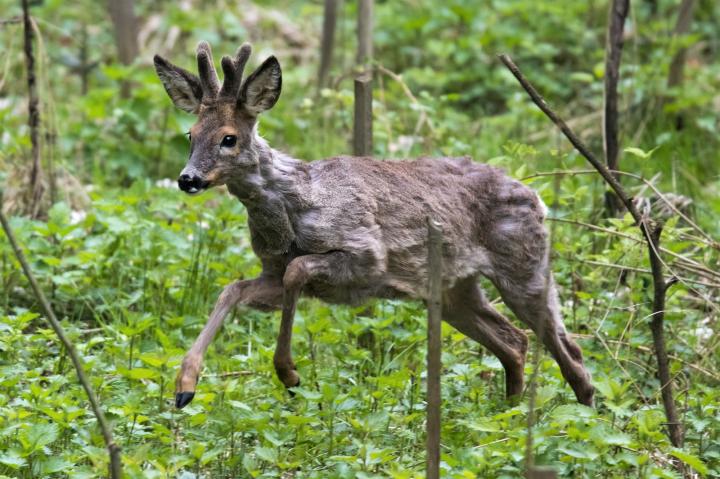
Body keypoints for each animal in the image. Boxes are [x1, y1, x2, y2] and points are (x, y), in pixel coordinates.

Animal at [155, 42, 592, 408]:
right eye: (191, 133)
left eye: (228, 138)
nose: (188, 179)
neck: (298, 206)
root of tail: (536, 198)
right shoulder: (272, 272)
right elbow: (232, 289)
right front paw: (184, 387)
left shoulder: (365, 255)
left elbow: (299, 269)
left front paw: (290, 373)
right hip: (455, 289)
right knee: (514, 341)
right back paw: (510, 413)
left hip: (524, 265)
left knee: (567, 348)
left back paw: (581, 413)